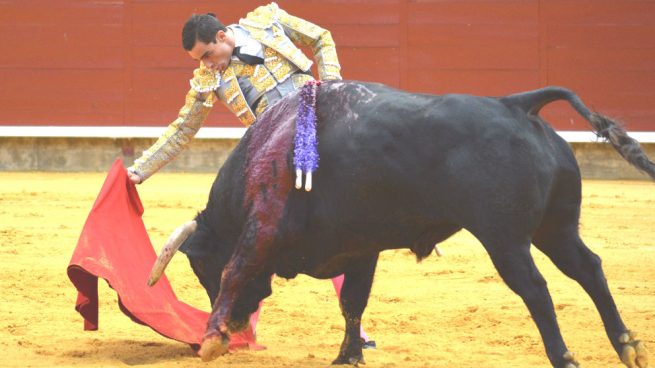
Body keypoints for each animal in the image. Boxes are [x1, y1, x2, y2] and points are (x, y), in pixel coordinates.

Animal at [150, 81, 655, 368]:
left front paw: (211, 339)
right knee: (588, 268)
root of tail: (514, 105)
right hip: (556, 228)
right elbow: (353, 302)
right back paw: (627, 346)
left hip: (504, 238)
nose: (237, 326)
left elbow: (238, 268)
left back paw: (564, 356)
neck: (270, 141)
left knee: (535, 287)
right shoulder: (359, 248)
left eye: (200, 268)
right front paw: (347, 357)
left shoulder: (264, 223)